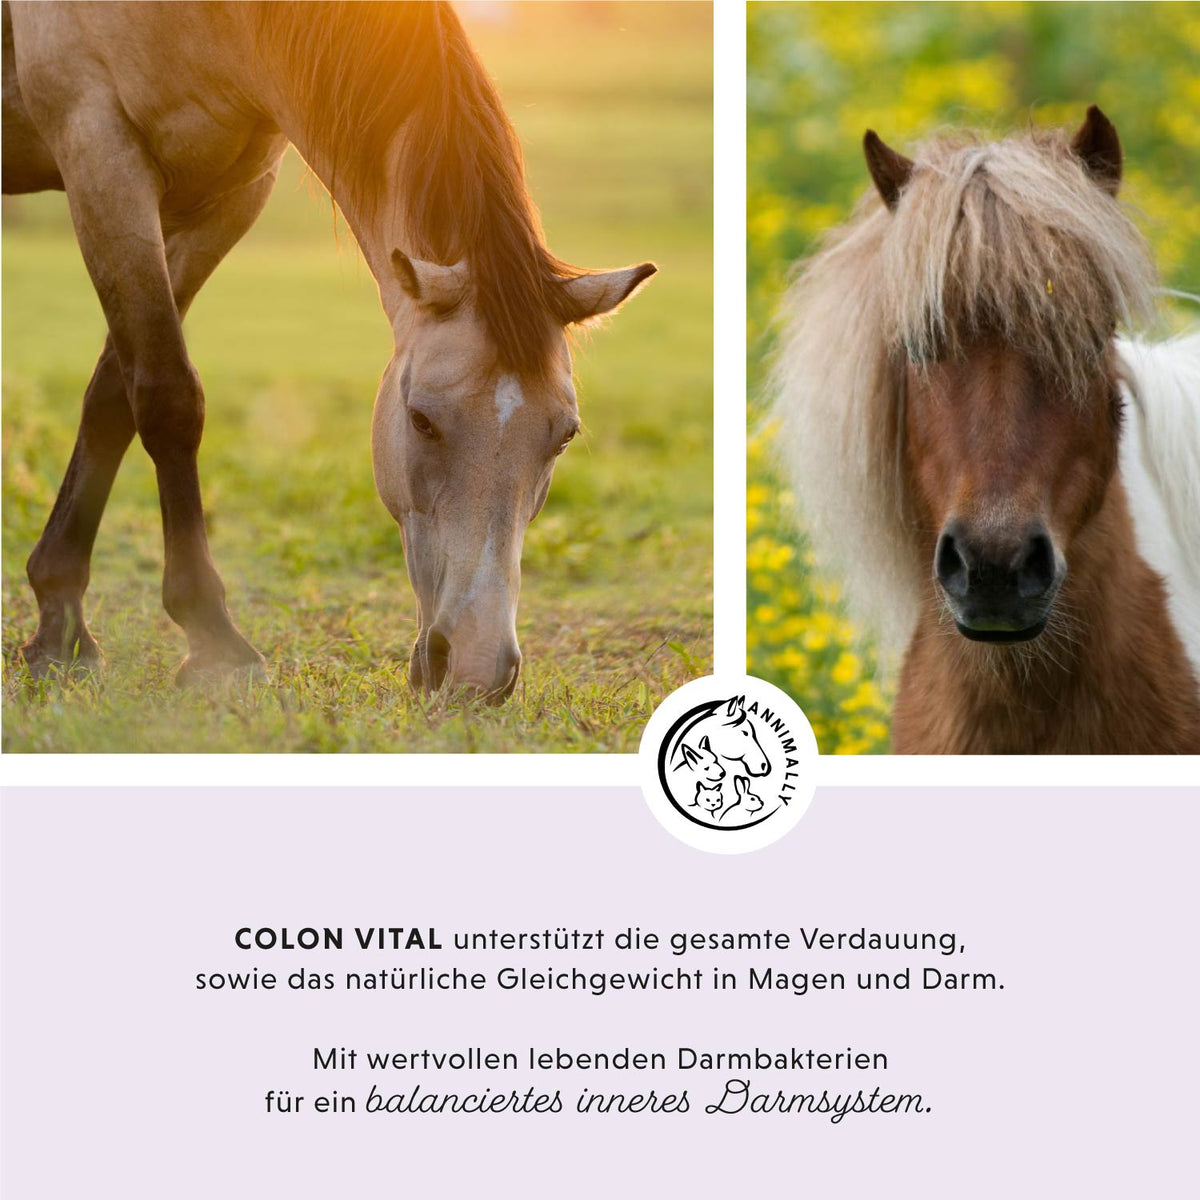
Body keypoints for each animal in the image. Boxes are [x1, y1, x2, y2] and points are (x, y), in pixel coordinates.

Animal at [3, 1, 655, 701]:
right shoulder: (100, 154)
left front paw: (59, 620)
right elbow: (165, 396)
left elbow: (112, 398)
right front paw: (210, 639)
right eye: (421, 420)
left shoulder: (231, 195)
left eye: (564, 435)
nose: (476, 672)